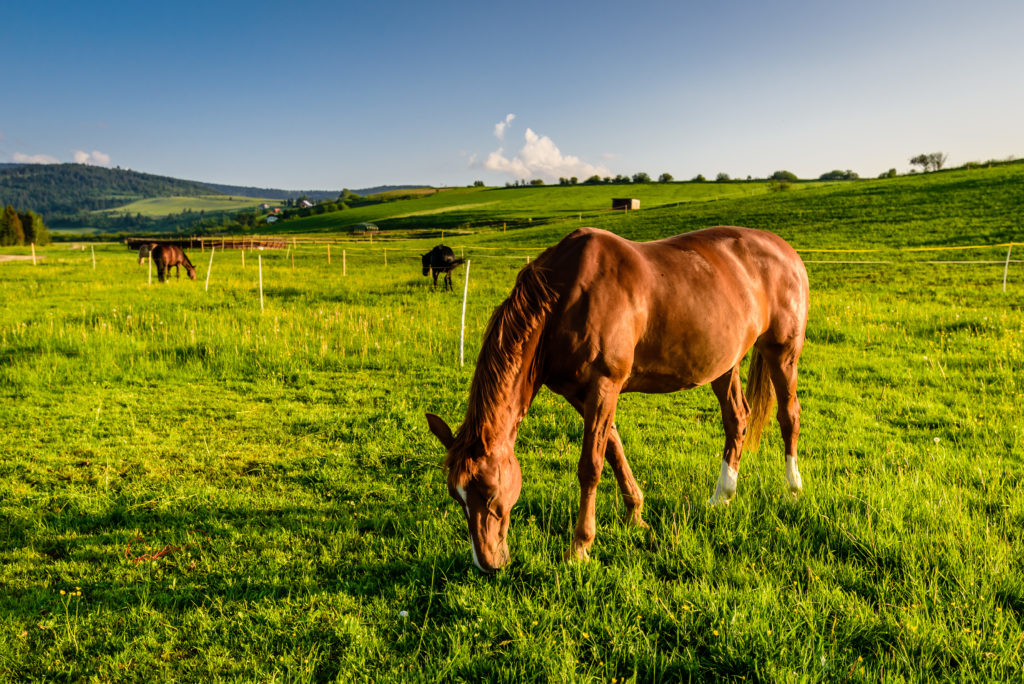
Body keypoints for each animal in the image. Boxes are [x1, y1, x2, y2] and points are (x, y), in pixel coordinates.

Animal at [423, 225, 806, 573]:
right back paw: (721, 497)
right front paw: (635, 514)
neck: (565, 298)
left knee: (789, 416)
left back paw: (793, 490)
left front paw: (580, 546)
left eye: (488, 490)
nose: (487, 563)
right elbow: (613, 448)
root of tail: (787, 251)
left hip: (783, 354)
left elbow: (590, 466)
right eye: (456, 495)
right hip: (725, 366)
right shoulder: (580, 395)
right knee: (737, 419)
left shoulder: (604, 385)